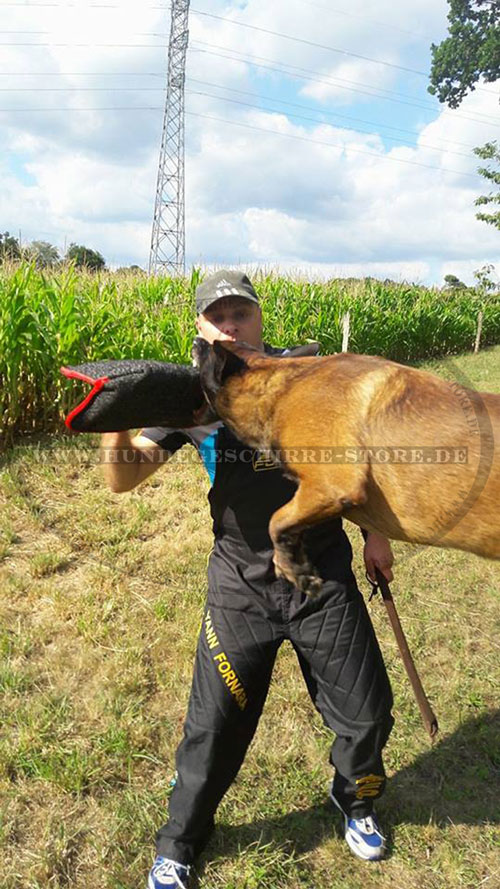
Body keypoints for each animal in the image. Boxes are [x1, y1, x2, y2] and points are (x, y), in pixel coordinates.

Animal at [192, 338, 500, 596]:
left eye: (206, 350)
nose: (195, 339)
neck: (279, 388)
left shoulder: (333, 485)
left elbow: (275, 521)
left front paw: (293, 570)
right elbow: (288, 525)